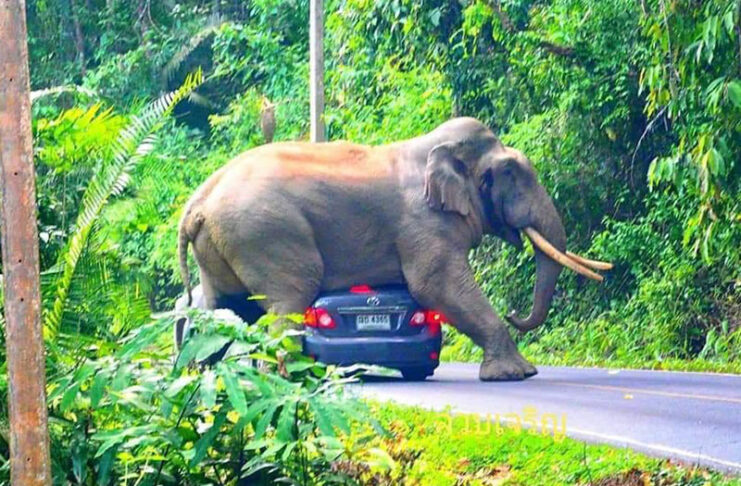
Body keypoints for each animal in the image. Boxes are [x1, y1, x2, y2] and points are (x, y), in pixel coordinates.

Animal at [177, 117, 611, 381]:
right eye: (510, 172)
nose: (515, 312)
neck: (433, 148)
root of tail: (197, 202)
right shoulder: (423, 223)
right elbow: (436, 286)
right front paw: (517, 374)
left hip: (223, 245)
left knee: (224, 307)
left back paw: (203, 376)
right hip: (266, 234)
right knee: (289, 298)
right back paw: (292, 378)